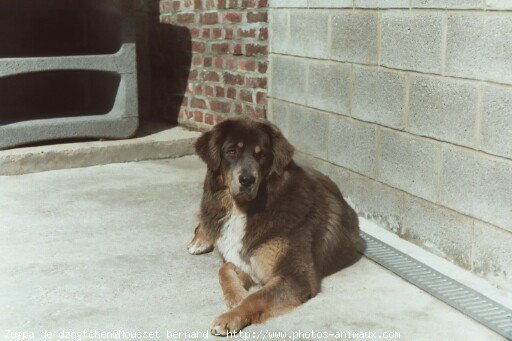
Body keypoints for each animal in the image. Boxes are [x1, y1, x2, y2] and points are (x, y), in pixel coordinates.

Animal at [187, 115, 360, 334]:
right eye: (232, 152)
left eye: (261, 155)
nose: (247, 179)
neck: (244, 210)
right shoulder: (244, 259)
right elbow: (224, 270)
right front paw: (236, 296)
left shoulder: (295, 276)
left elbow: (254, 297)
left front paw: (230, 316)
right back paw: (200, 240)